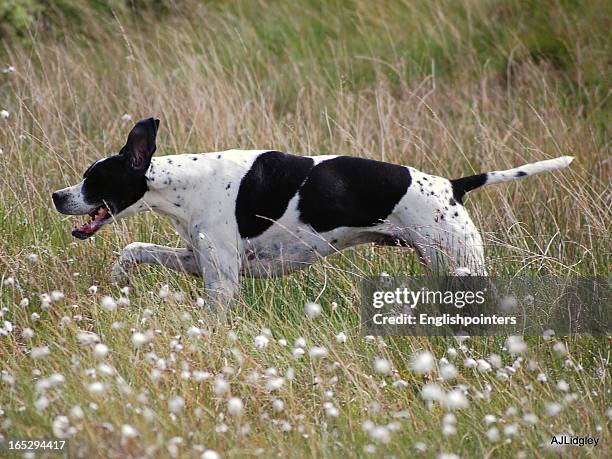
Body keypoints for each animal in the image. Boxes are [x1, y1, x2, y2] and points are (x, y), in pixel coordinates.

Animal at [52, 119, 572, 306]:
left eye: (93, 179)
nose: (57, 195)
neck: (185, 183)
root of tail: (451, 185)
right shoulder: (198, 259)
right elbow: (135, 248)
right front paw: (117, 278)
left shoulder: (223, 282)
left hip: (462, 266)